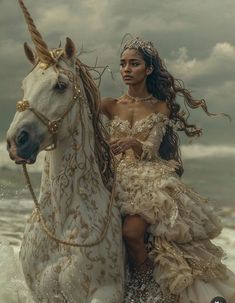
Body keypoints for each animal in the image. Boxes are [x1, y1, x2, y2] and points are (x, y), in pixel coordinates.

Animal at [5, 1, 123, 302]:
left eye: (60, 85)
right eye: (24, 85)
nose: (16, 141)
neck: (62, 222)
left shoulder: (106, 292)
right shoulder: (40, 293)